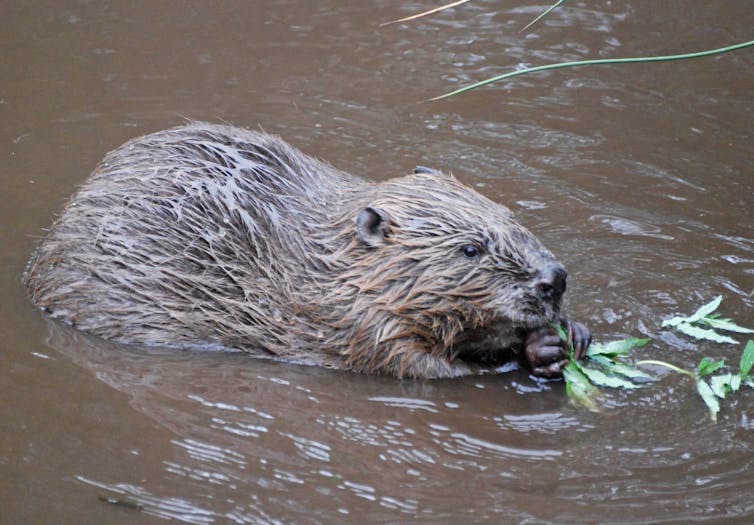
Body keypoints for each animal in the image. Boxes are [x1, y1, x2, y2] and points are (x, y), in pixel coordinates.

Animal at [23, 122, 592, 376]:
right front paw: (540, 351)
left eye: (511, 217)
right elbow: (422, 366)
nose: (554, 279)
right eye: (471, 249)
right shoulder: (356, 324)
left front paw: (572, 335)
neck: (327, 263)